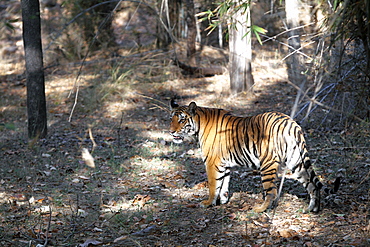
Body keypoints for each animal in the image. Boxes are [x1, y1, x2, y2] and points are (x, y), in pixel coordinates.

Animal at [169, 100, 340, 212]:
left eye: (182, 120)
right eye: (171, 119)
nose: (171, 131)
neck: (198, 125)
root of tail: (290, 123)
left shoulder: (212, 162)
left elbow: (213, 185)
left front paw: (208, 203)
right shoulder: (224, 164)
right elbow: (223, 184)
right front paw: (222, 201)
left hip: (267, 165)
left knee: (271, 191)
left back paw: (259, 209)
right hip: (297, 162)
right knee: (312, 185)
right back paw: (313, 209)